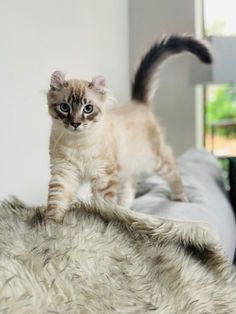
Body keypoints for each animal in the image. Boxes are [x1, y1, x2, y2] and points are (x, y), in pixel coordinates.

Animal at [45, 34, 211, 222]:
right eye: (64, 107)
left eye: (88, 109)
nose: (75, 123)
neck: (77, 143)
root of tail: (138, 102)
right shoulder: (64, 172)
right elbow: (56, 201)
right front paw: (51, 224)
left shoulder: (104, 176)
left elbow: (102, 204)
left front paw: (100, 220)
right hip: (126, 167)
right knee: (130, 189)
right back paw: (124, 211)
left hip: (156, 159)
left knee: (174, 172)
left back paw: (180, 198)